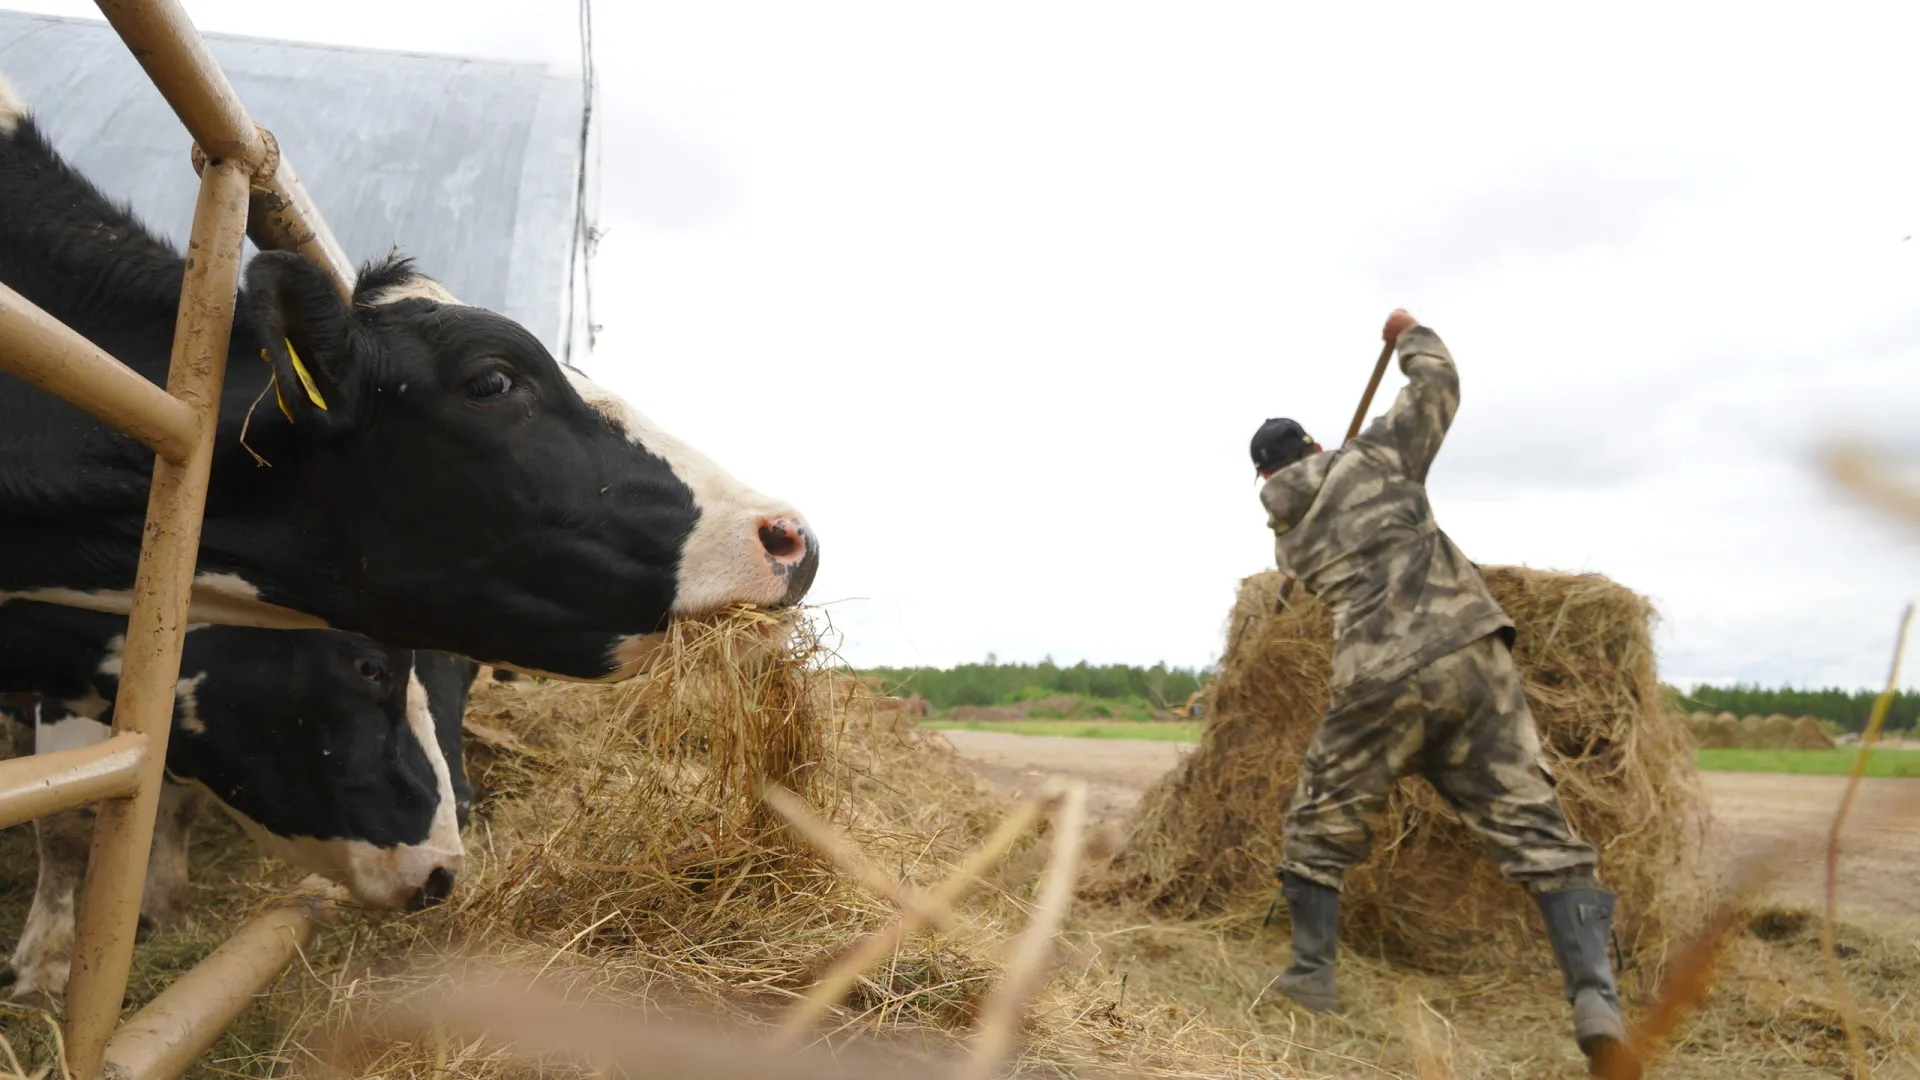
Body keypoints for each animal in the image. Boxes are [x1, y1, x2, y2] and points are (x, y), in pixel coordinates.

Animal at [0, 595, 478, 999]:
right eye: (369, 666)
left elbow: (178, 808)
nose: (441, 872)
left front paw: (168, 910)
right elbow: (67, 822)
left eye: (471, 672)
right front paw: (46, 961)